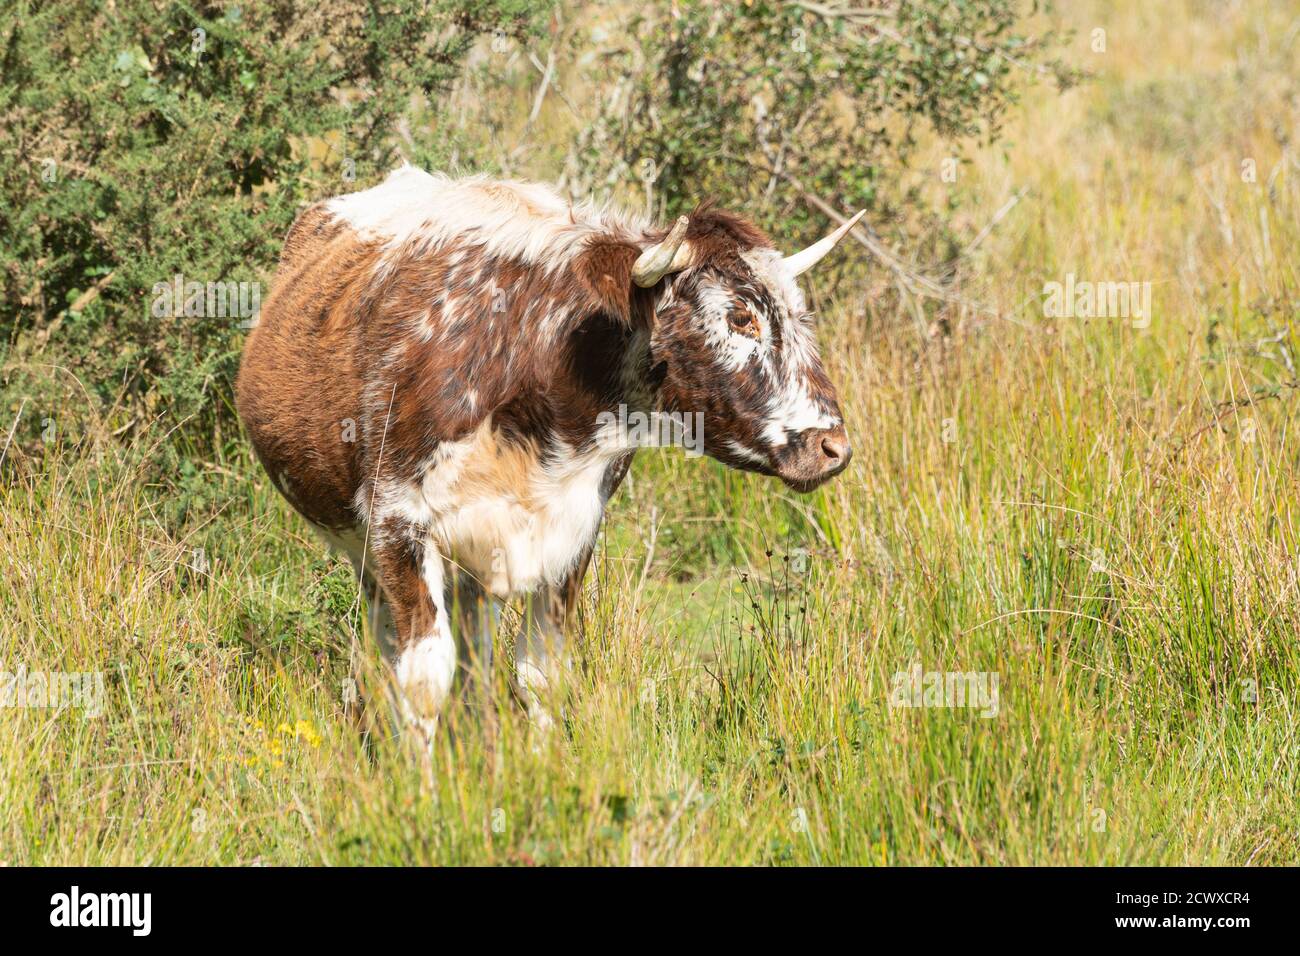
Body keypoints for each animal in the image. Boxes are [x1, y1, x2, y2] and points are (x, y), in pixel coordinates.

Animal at [235, 164, 863, 738]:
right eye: (741, 316)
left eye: (800, 315)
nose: (833, 447)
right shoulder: (396, 523)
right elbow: (423, 680)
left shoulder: (571, 533)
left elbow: (539, 674)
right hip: (364, 550)